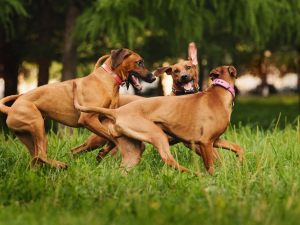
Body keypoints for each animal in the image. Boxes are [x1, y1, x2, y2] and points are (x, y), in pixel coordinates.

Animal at [0, 48, 155, 169]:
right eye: (139, 62)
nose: (153, 78)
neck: (108, 79)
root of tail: (12, 108)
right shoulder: (88, 119)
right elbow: (112, 138)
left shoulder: (104, 120)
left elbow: (110, 138)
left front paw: (103, 153)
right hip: (37, 125)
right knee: (41, 155)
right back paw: (61, 165)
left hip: (29, 135)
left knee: (36, 158)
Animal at [74, 65, 245, 174]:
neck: (218, 93)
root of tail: (117, 111)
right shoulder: (204, 142)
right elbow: (211, 165)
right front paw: (213, 178)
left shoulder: (214, 140)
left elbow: (238, 148)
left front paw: (240, 163)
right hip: (157, 135)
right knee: (168, 159)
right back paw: (193, 173)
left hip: (132, 151)